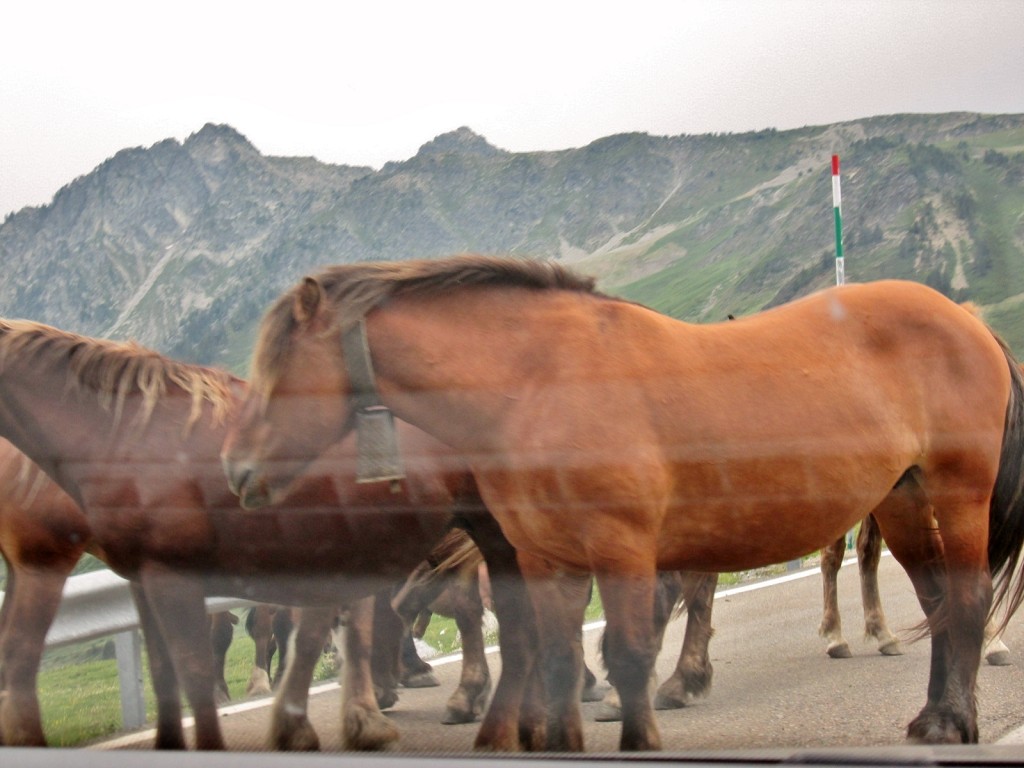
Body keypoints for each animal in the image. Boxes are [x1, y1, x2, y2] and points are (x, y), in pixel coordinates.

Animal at [222, 255, 1024, 751]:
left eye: (277, 367)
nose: (235, 471)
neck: (541, 382)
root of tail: (965, 316)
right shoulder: (545, 560)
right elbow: (555, 658)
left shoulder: (623, 550)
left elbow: (628, 656)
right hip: (903, 501)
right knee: (939, 604)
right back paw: (935, 716)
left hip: (956, 493)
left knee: (968, 599)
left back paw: (953, 721)